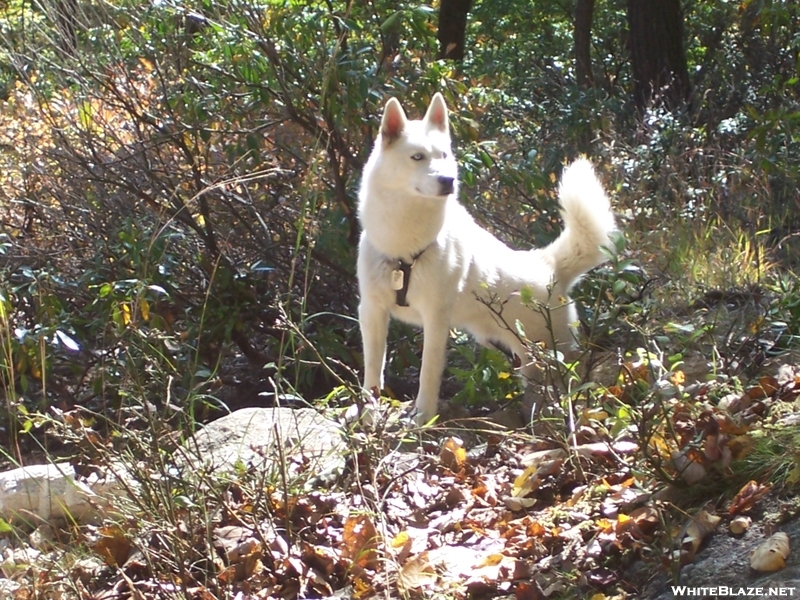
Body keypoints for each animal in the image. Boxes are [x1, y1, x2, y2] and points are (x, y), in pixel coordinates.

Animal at [358, 94, 620, 422]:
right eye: (417, 157)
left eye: (443, 155)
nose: (448, 181)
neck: (404, 248)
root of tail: (548, 265)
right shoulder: (372, 312)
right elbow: (372, 374)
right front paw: (367, 417)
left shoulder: (435, 319)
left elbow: (427, 375)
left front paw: (422, 418)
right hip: (515, 349)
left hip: (547, 351)